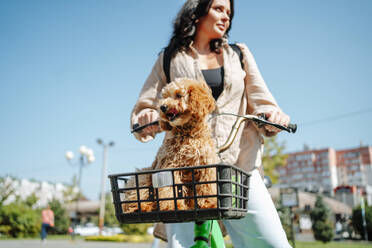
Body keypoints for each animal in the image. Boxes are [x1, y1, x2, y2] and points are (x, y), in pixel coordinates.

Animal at [123, 78, 219, 212]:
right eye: (165, 97)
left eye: (178, 95)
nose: (162, 107)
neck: (188, 135)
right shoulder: (170, 166)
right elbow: (170, 190)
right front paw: (173, 206)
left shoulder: (206, 167)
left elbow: (207, 187)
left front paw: (208, 204)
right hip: (145, 175)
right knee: (135, 198)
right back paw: (143, 206)